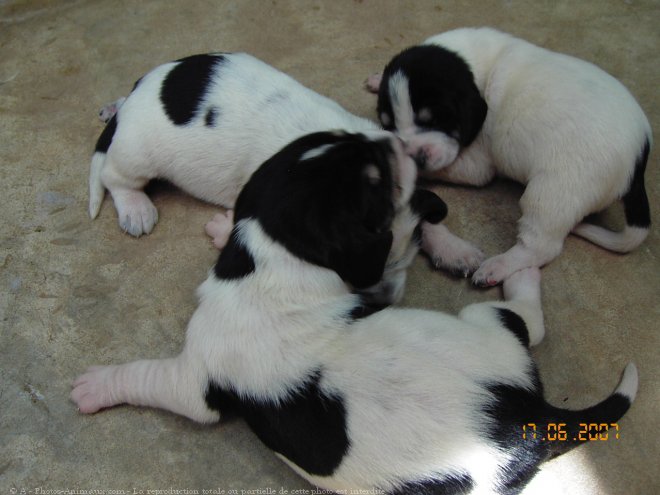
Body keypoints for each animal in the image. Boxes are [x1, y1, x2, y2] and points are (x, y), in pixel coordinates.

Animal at [69, 130, 636, 494]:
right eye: (374, 176)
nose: (394, 141)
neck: (279, 261)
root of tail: (536, 415)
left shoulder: (194, 382)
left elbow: (147, 377)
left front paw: (95, 387)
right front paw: (222, 228)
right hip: (486, 325)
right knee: (527, 323)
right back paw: (521, 274)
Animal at [368, 26, 652, 286]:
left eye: (434, 120)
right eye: (389, 123)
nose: (416, 157)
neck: (477, 67)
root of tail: (639, 160)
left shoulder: (478, 163)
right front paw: (377, 79)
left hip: (552, 192)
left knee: (541, 247)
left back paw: (498, 266)